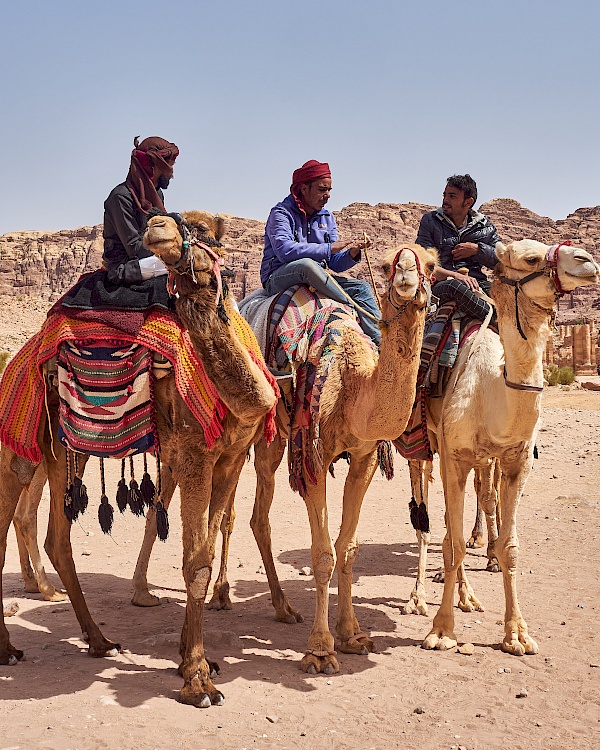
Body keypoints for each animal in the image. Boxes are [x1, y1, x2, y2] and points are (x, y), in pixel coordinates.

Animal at [0, 213, 276, 712]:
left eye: (205, 231)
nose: (157, 224)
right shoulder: (193, 453)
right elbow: (194, 563)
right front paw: (197, 680)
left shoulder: (231, 458)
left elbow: (207, 550)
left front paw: (193, 659)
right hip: (21, 441)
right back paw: (9, 648)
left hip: (64, 450)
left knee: (56, 538)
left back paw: (98, 640)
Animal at [418, 242, 600, 656]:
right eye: (530, 259)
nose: (587, 261)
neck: (493, 390)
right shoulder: (454, 456)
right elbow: (453, 544)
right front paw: (441, 630)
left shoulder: (516, 461)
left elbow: (511, 545)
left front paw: (516, 633)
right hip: (427, 445)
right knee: (436, 519)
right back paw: (433, 595)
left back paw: (468, 594)